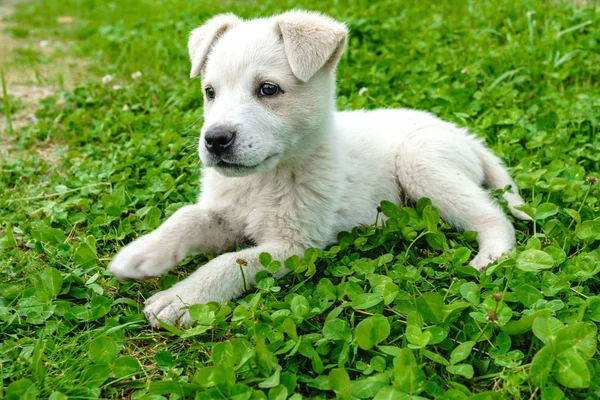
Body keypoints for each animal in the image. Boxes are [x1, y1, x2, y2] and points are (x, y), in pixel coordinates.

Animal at [109, 10, 528, 326]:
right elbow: (185, 218)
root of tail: (464, 136)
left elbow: (233, 261)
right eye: (210, 92)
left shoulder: (295, 244)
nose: (215, 140)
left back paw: (493, 254)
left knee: (493, 215)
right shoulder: (224, 213)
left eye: (268, 89)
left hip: (421, 162)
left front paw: (182, 299)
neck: (263, 181)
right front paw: (140, 254)